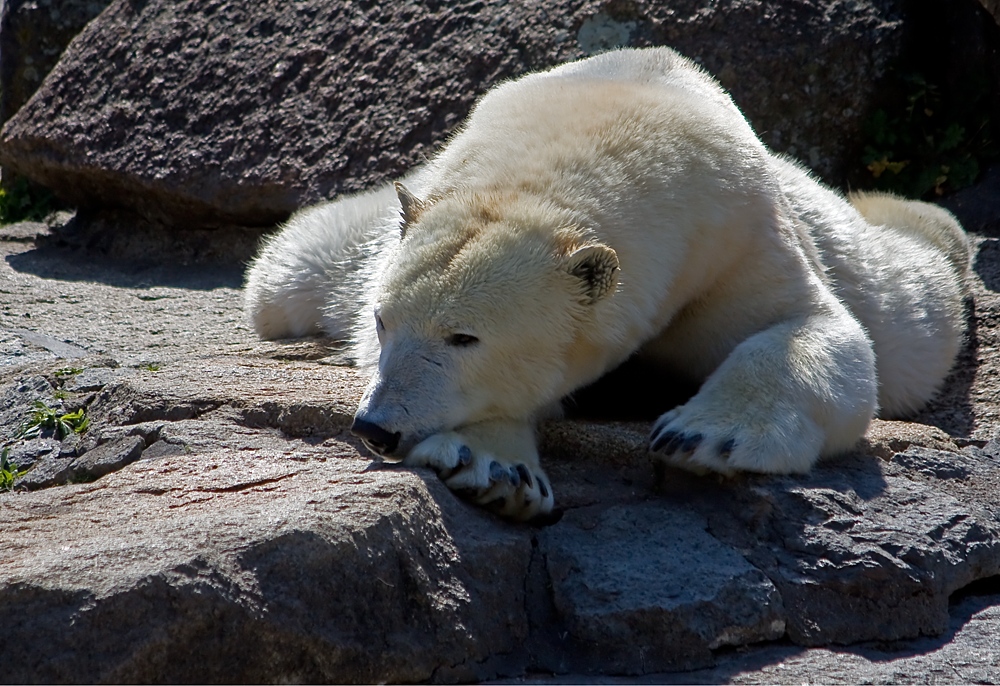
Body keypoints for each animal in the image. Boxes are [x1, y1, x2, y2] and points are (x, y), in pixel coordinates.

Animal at [242, 47, 968, 520]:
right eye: (382, 321)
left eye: (464, 337)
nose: (376, 428)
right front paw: (494, 466)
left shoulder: (738, 235)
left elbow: (820, 333)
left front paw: (698, 435)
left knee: (909, 319)